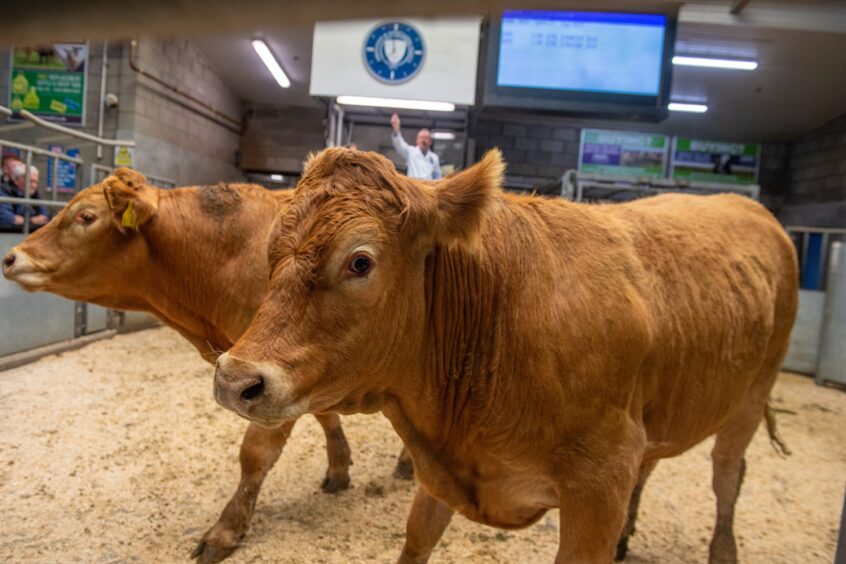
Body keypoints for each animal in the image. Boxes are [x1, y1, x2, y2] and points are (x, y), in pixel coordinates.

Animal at [2, 170, 414, 560]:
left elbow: (255, 454)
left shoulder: (267, 376)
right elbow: (325, 417)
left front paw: (225, 530)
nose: (11, 257)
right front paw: (339, 468)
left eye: (86, 216)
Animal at [215, 150, 800, 564]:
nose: (234, 380)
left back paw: (723, 550)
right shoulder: (443, 469)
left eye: (360, 261)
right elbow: (418, 537)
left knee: (727, 474)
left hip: (752, 395)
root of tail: (748, 206)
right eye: (270, 252)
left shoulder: (600, 484)